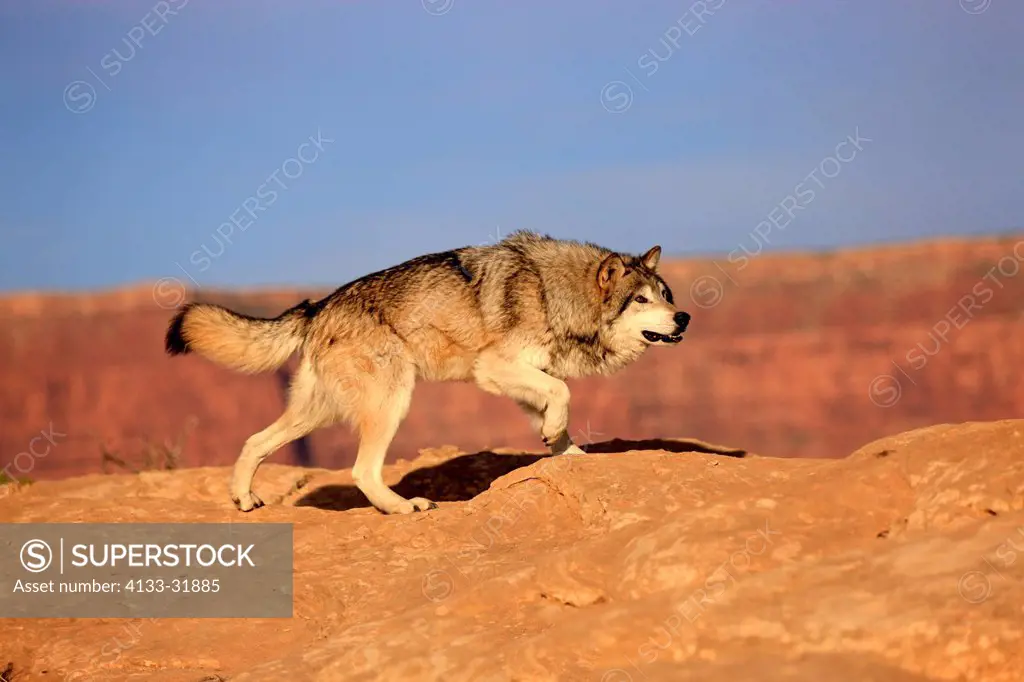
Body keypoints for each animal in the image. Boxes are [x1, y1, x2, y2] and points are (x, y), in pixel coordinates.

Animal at [163, 231, 688, 512]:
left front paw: (571, 455)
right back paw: (404, 508)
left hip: (318, 413)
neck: (552, 291)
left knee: (254, 442)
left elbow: (555, 422)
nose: (684, 318)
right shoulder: (493, 368)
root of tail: (319, 306)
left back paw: (243, 499)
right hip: (391, 401)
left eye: (666, 295)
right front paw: (561, 438)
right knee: (362, 471)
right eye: (641, 300)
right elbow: (562, 394)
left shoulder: (520, 379)